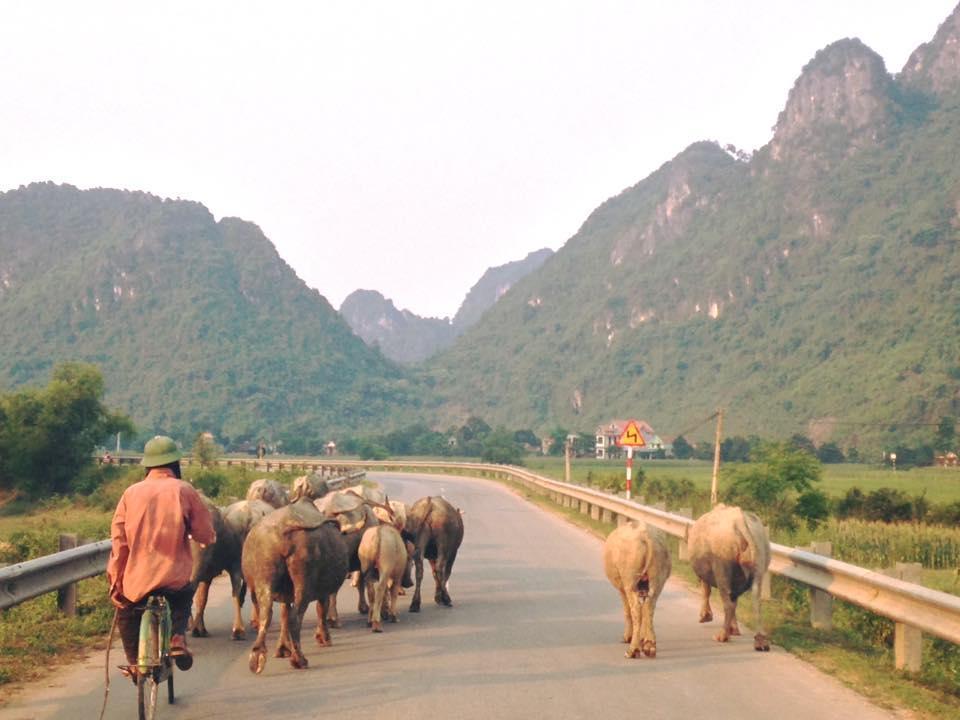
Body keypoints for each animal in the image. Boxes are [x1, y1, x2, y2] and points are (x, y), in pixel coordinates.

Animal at [244, 498, 348, 672]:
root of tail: (282, 531)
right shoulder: (323, 591)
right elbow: (321, 610)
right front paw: (324, 638)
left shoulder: (285, 594)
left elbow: (284, 614)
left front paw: (282, 649)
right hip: (304, 580)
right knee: (295, 617)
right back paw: (299, 659)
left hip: (263, 573)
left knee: (265, 614)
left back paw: (257, 655)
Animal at [604, 524, 672, 660]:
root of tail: (647, 537)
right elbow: (645, 611)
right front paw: (643, 640)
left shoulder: (622, 586)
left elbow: (627, 611)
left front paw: (628, 637)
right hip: (658, 578)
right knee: (649, 608)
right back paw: (649, 646)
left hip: (629, 578)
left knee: (635, 609)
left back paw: (632, 650)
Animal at [688, 504, 772, 648]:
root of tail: (740, 520)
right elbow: (735, 600)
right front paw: (734, 629)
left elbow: (706, 590)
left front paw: (705, 616)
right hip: (760, 557)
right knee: (755, 599)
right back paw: (760, 641)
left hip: (722, 565)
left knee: (727, 602)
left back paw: (722, 635)